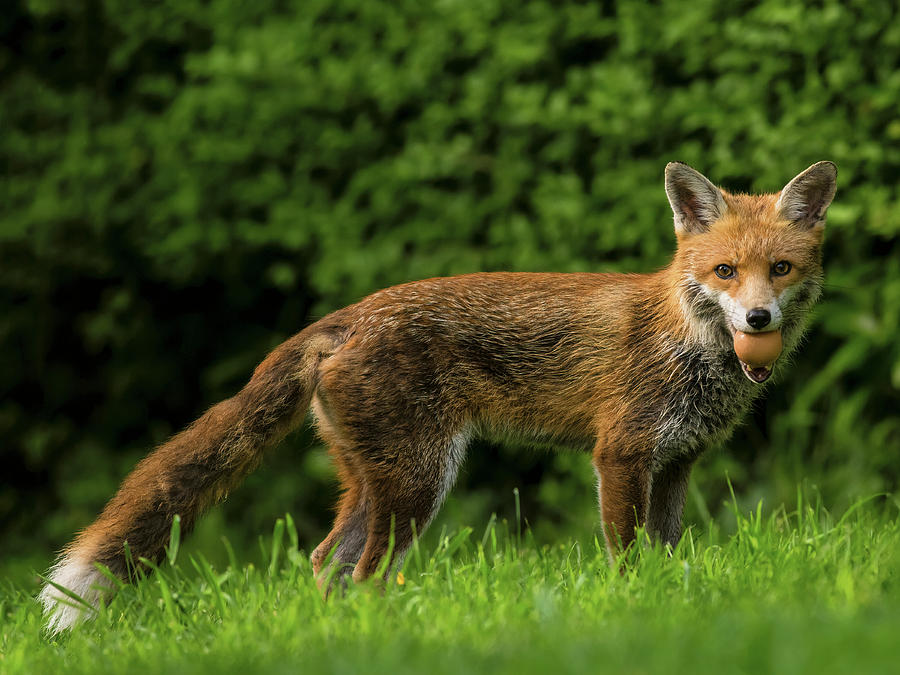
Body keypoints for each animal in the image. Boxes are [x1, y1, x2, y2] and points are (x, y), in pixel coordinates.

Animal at [37, 160, 836, 632]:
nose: (758, 320)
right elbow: (627, 556)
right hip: (420, 479)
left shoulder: (675, 464)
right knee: (362, 572)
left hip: (378, 483)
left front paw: (669, 607)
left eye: (781, 268)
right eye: (725, 271)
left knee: (325, 562)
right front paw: (631, 610)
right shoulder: (622, 454)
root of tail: (345, 317)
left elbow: (667, 556)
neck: (688, 340)